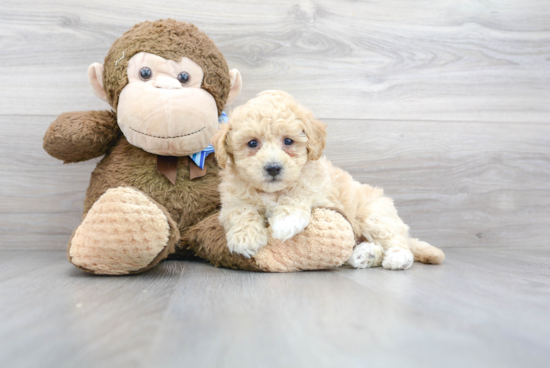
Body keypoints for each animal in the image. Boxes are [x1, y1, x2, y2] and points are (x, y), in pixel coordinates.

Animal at [213, 91, 446, 270]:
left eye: (288, 141)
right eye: (252, 143)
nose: (273, 168)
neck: (272, 192)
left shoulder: (320, 191)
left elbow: (299, 193)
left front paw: (285, 220)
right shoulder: (231, 201)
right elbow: (241, 211)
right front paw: (245, 238)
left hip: (373, 215)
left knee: (396, 240)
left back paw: (397, 257)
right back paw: (364, 255)